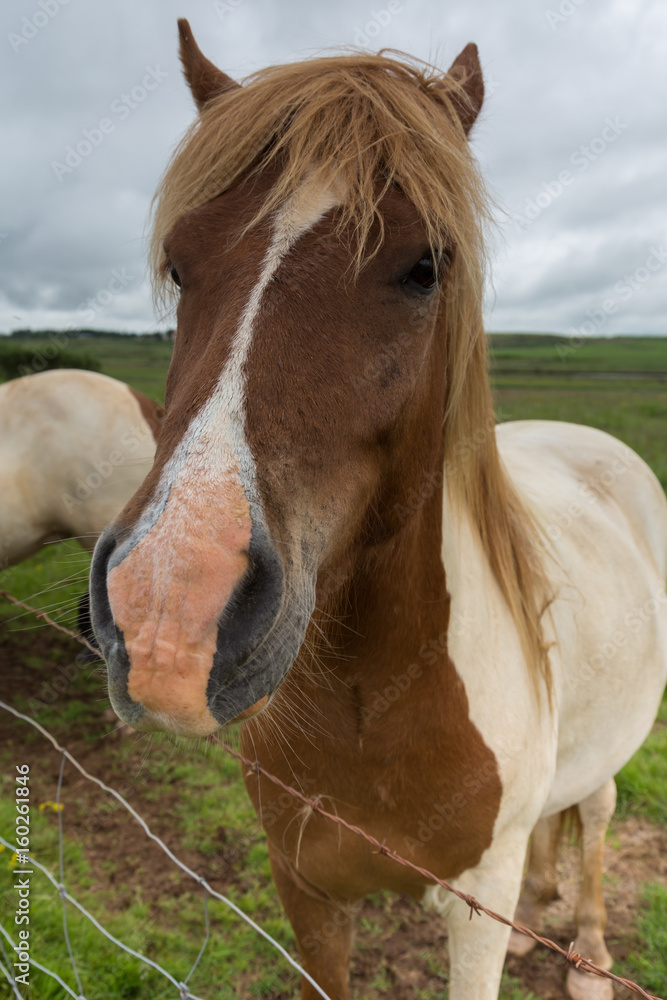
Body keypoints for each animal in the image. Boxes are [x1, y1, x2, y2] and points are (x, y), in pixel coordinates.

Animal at [89, 20, 667, 1000]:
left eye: (424, 266)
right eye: (179, 263)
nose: (168, 613)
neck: (371, 701)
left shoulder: (472, 913)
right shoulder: (306, 890)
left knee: (594, 811)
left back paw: (587, 952)